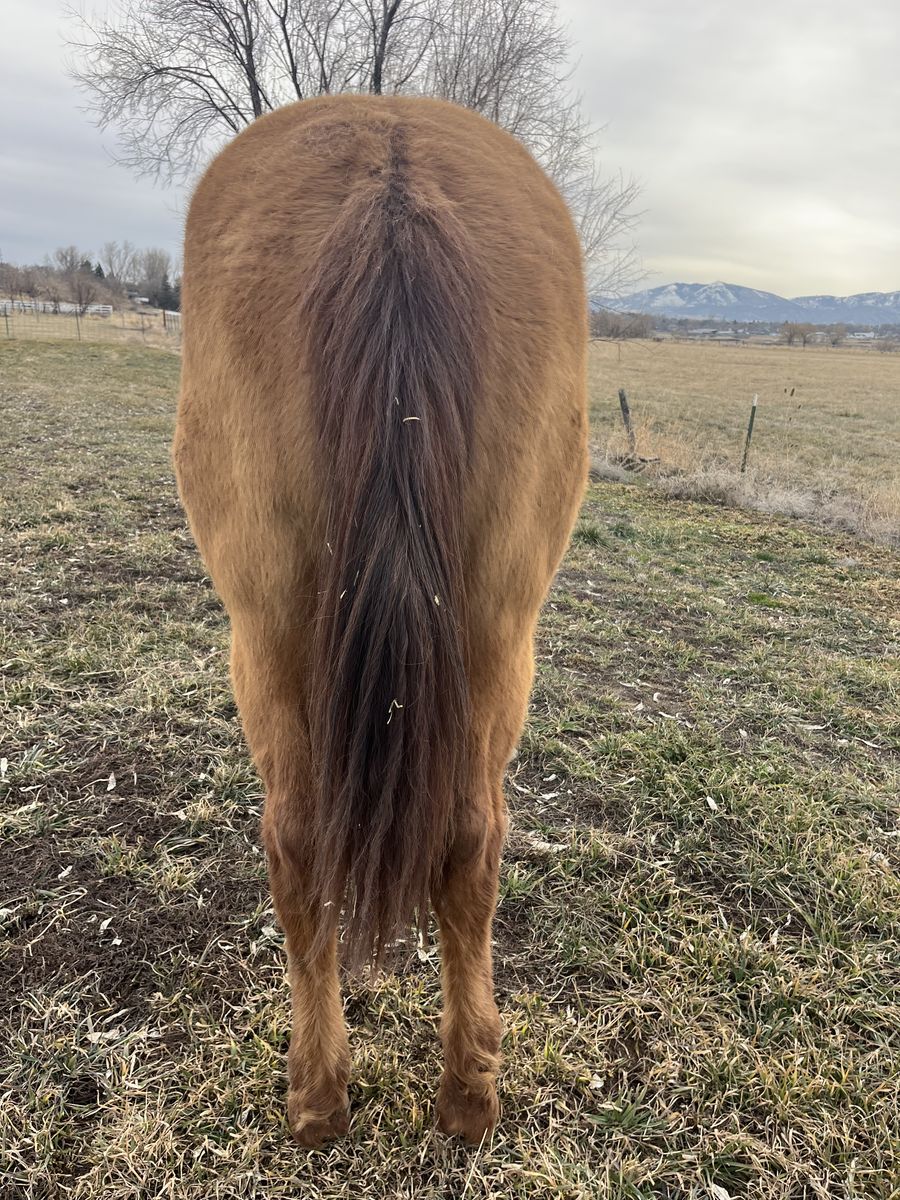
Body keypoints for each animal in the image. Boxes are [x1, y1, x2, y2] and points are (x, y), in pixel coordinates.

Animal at [173, 94, 587, 1147]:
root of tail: (392, 172)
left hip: (264, 643)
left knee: (296, 844)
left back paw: (318, 1097)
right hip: (497, 636)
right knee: (473, 842)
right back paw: (468, 1099)